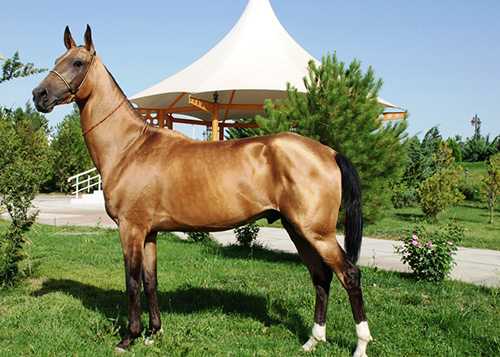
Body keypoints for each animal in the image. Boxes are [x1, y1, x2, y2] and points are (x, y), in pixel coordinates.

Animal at [32, 26, 372, 354]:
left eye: (78, 62)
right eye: (56, 61)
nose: (39, 95)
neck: (130, 148)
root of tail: (329, 151)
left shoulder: (131, 230)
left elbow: (132, 283)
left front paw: (129, 338)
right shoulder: (149, 233)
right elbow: (150, 280)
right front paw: (154, 333)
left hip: (317, 233)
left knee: (349, 275)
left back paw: (360, 345)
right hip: (298, 230)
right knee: (321, 278)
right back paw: (313, 341)